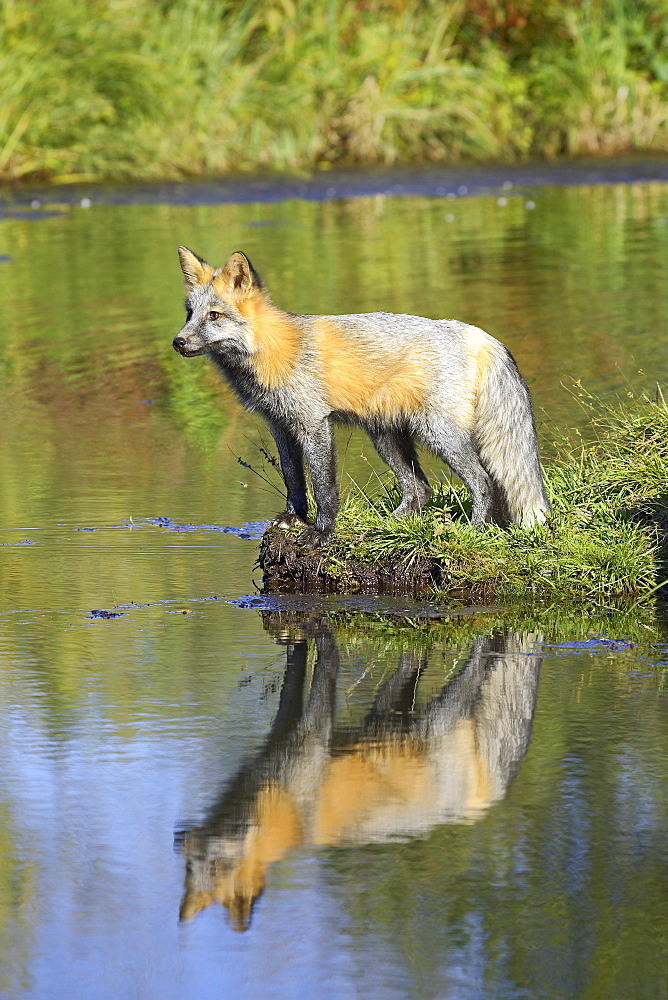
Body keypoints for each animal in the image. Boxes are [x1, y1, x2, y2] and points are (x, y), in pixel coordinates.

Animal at [174, 250, 552, 548]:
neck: (272, 351)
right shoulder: (280, 426)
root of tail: (482, 335)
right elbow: (293, 479)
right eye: (189, 313)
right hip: (386, 436)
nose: (177, 342)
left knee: (483, 482)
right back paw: (391, 527)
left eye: (214, 315)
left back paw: (474, 530)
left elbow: (324, 487)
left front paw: (321, 533)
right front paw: (294, 518)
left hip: (438, 434)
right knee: (420, 490)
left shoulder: (314, 425)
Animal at [177, 620, 544, 932]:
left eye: (215, 865)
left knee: (482, 656)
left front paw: (318, 630)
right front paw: (294, 639)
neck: (282, 809)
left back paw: (482, 643)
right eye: (191, 869)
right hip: (389, 715)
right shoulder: (283, 733)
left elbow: (327, 663)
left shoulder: (312, 736)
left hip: (444, 713)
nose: (179, 841)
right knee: (414, 657)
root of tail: (487, 797)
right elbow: (294, 672)